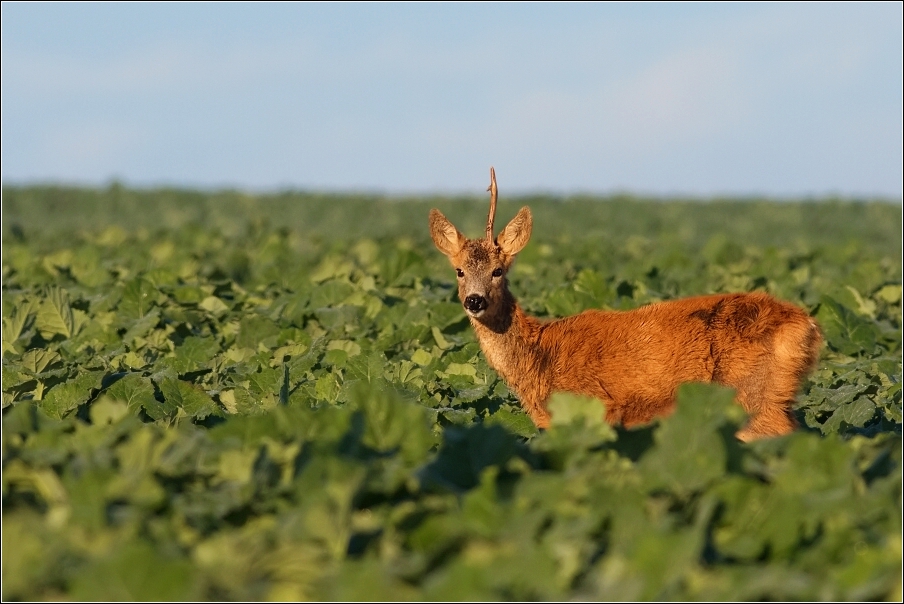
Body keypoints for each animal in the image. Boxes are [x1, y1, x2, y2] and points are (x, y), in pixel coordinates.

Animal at [428, 168, 824, 442]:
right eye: (460, 271)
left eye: (498, 270)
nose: (474, 300)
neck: (539, 359)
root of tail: (808, 326)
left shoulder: (594, 407)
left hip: (752, 399)